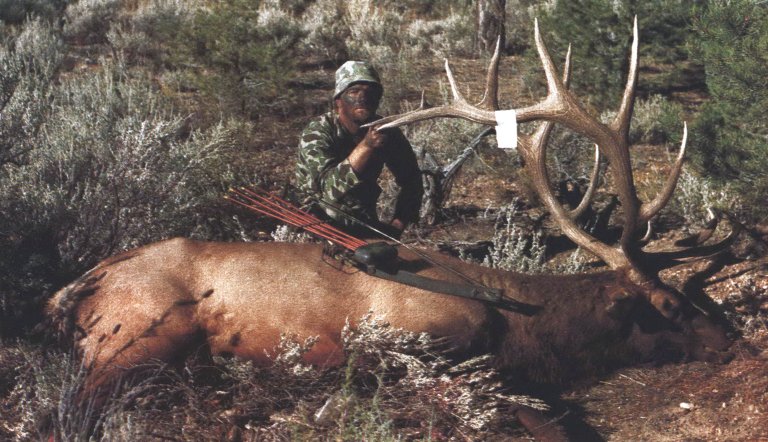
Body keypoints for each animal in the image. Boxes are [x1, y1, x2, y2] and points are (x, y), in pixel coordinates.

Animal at [48, 19, 735, 441]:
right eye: (671, 305)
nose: (732, 340)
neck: (525, 325)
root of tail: (78, 288)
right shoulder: (414, 342)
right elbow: (552, 423)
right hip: (132, 341)